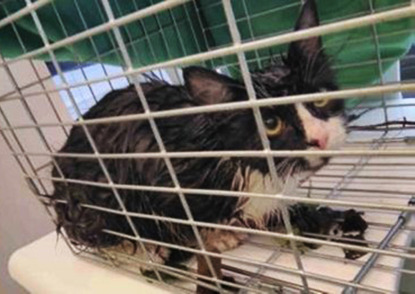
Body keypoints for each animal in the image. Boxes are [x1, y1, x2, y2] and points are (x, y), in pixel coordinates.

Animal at [50, 0, 366, 292]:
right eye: (270, 123)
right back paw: (138, 247)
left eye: (319, 98)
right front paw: (216, 236)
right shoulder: (162, 174)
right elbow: (185, 216)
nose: (320, 138)